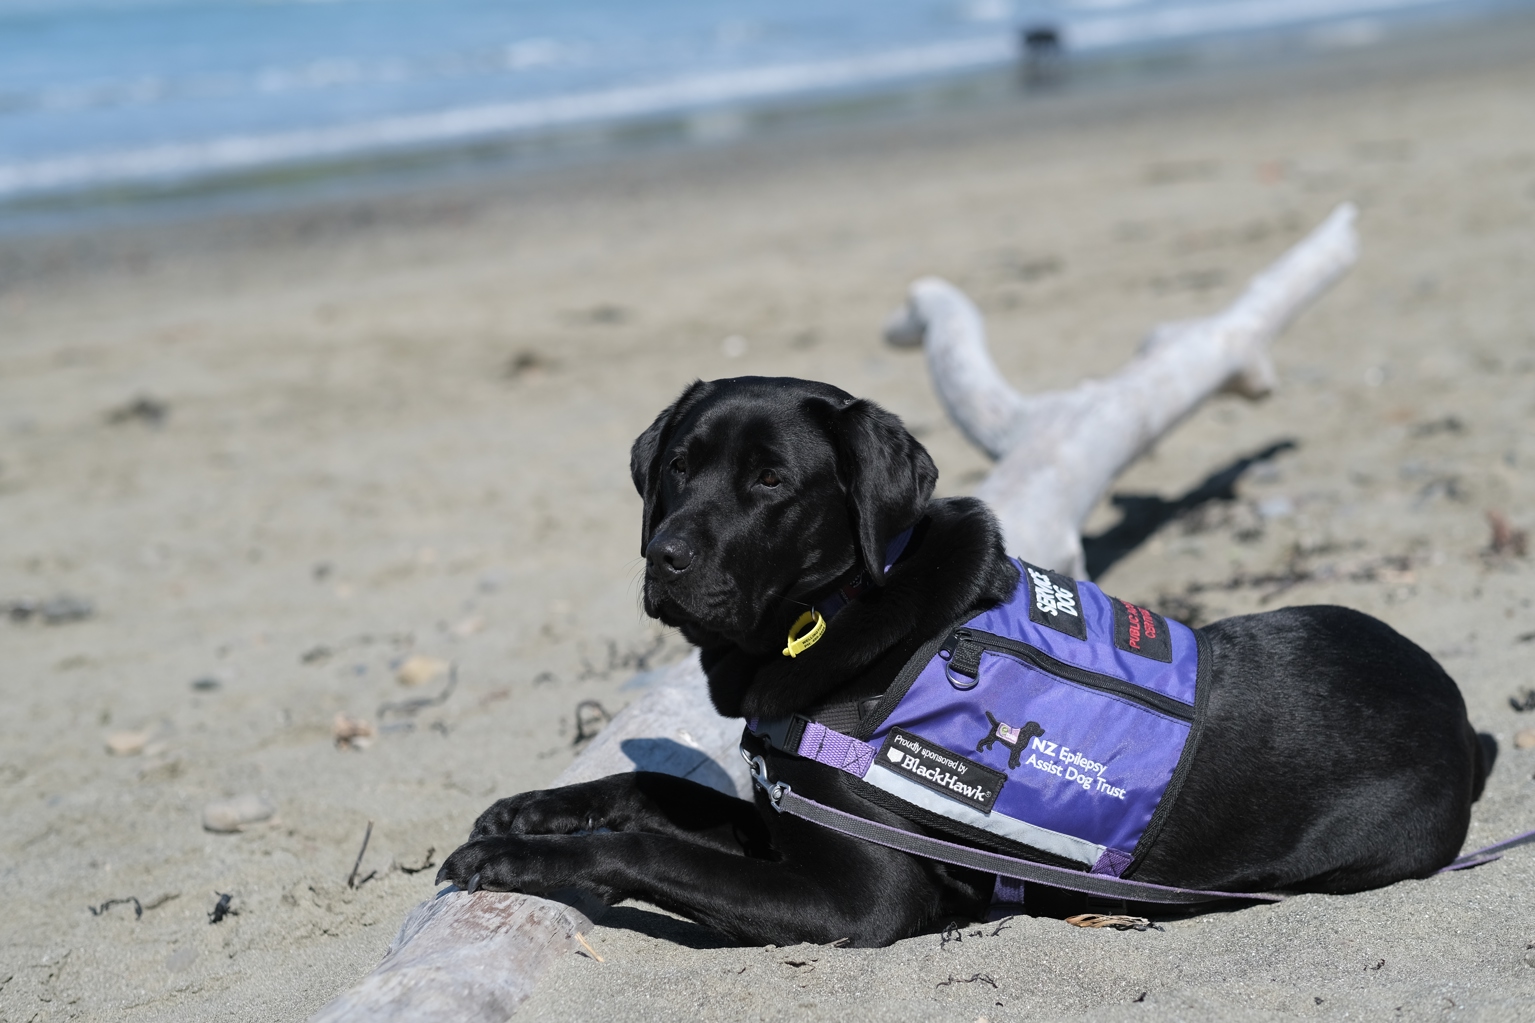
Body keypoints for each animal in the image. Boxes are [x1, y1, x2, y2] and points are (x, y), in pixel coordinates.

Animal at [442, 377, 1485, 946]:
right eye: (675, 468)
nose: (664, 557)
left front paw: (514, 857)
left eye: (771, 479)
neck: (837, 617)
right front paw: (530, 808)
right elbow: (659, 789)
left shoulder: (857, 897)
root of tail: (1460, 714)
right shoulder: (784, 811)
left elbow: (656, 843)